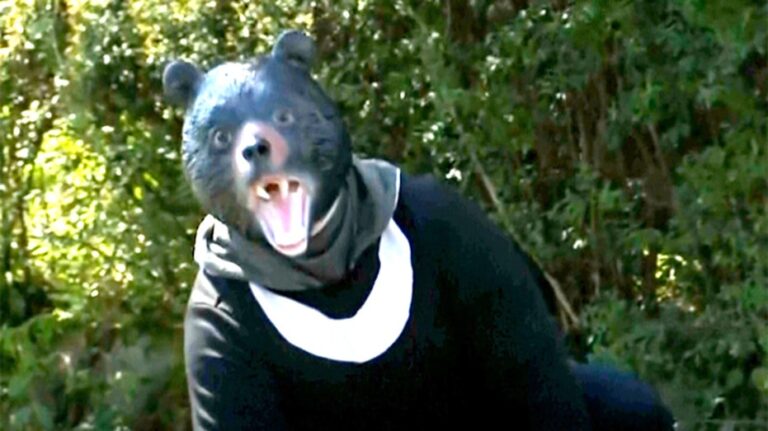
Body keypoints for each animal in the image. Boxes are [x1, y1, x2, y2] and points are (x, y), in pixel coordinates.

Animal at [163, 30, 674, 430]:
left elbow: (529, 367)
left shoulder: (458, 237)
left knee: (627, 397)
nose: (256, 149)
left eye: (283, 116)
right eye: (219, 137)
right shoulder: (215, 325)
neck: (325, 266)